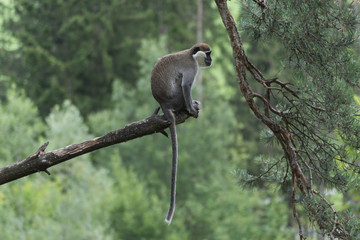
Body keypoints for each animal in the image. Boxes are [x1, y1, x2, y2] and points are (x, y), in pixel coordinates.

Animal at [150, 42, 212, 223]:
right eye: (208, 53)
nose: (211, 60)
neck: (192, 55)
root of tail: (163, 104)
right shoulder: (192, 67)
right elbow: (186, 86)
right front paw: (191, 108)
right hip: (176, 98)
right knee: (182, 85)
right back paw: (186, 108)